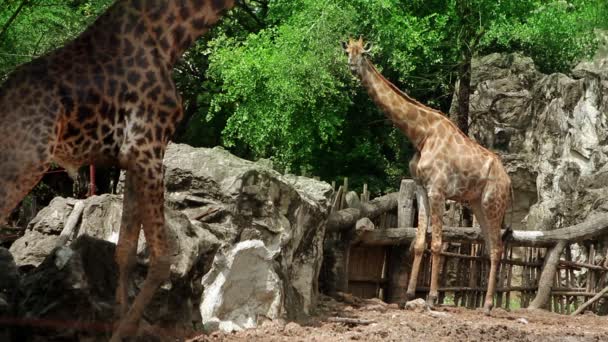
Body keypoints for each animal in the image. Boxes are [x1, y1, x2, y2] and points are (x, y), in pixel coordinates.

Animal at [0, 0, 236, 340]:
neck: (173, 36)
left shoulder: (133, 156)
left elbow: (125, 250)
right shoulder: (147, 147)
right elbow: (161, 257)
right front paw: (124, 330)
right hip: (25, 162)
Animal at [344, 38, 510, 316]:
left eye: (363, 53)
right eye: (347, 51)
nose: (352, 67)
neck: (420, 134)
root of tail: (509, 182)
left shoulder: (438, 189)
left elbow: (437, 243)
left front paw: (431, 298)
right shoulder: (422, 188)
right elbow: (420, 241)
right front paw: (409, 295)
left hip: (493, 202)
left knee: (498, 247)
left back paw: (487, 306)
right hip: (477, 203)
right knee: (490, 247)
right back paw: (484, 305)